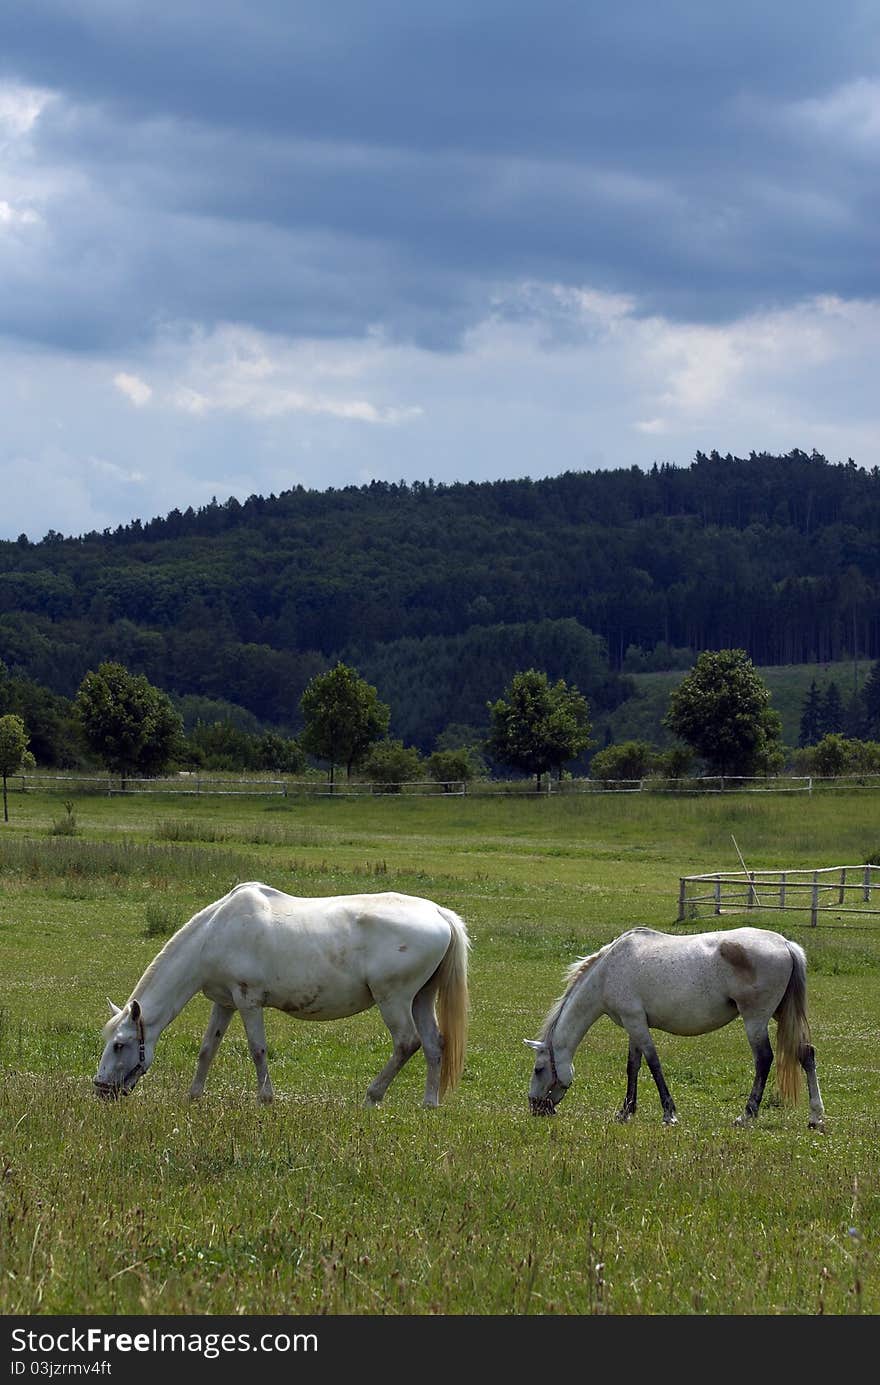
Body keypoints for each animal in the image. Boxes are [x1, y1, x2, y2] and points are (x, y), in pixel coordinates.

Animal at [93, 886, 471, 1102]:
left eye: (120, 1045)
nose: (100, 1087)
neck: (215, 933)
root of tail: (439, 914)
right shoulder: (224, 1004)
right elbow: (206, 1050)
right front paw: (193, 1098)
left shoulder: (248, 1002)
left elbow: (258, 1050)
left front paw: (266, 1099)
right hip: (421, 998)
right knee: (434, 1044)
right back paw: (429, 1104)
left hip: (394, 1000)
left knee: (407, 1043)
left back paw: (371, 1097)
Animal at [529, 925, 825, 1130]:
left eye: (539, 1069)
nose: (535, 1107)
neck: (607, 972)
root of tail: (786, 944)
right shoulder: (634, 1024)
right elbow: (633, 1066)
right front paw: (626, 1111)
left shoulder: (636, 1023)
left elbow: (654, 1064)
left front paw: (669, 1114)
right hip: (782, 1015)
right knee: (806, 1054)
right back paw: (816, 1118)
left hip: (755, 1020)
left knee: (764, 1060)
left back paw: (746, 1115)